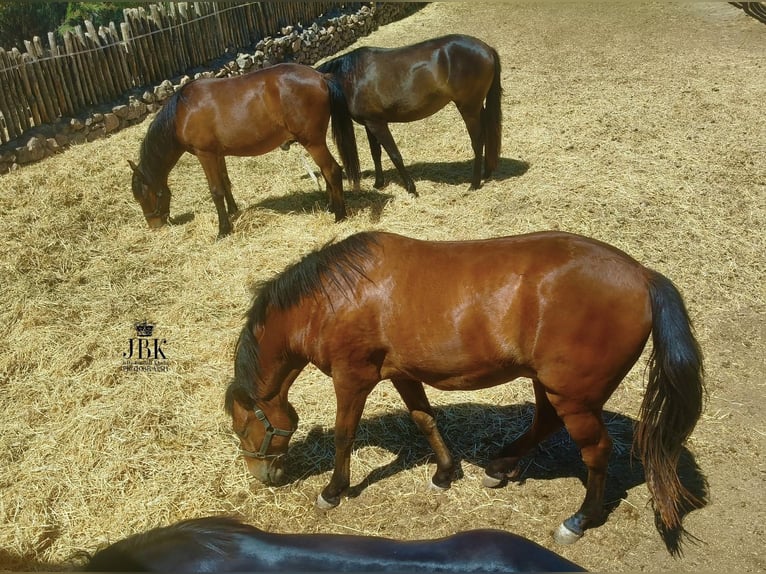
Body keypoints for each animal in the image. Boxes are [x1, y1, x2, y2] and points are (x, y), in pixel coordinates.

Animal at [128, 63, 360, 239]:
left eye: (143, 196)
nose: (154, 225)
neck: (181, 112)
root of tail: (320, 77)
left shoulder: (205, 155)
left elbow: (216, 190)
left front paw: (223, 230)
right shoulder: (217, 154)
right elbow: (225, 183)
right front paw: (233, 211)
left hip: (312, 142)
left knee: (332, 170)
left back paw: (339, 215)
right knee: (326, 172)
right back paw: (331, 206)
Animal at [225, 230, 706, 545]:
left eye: (243, 427)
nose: (264, 477)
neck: (330, 298)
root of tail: (642, 275)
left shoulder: (352, 378)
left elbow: (345, 435)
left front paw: (332, 491)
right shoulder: (403, 373)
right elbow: (424, 419)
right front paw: (443, 473)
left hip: (573, 395)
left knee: (596, 452)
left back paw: (579, 520)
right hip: (552, 386)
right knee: (545, 423)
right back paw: (499, 466)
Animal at [316, 34, 503, 196]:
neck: (352, 77)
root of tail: (487, 49)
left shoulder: (377, 124)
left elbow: (394, 155)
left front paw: (411, 188)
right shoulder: (369, 123)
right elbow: (376, 153)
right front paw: (379, 183)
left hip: (469, 109)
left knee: (477, 141)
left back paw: (474, 184)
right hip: (477, 108)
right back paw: (486, 172)